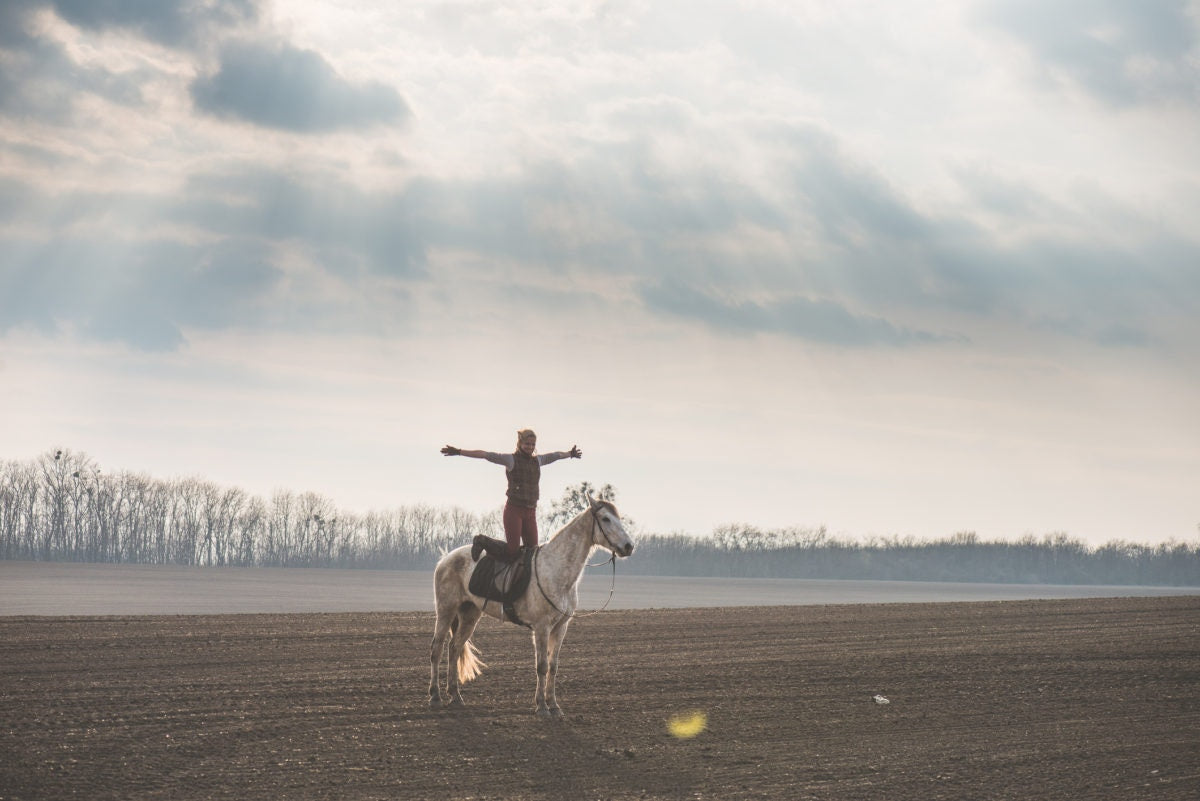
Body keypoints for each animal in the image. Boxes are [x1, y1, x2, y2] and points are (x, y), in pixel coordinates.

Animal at [432, 491, 638, 714]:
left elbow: (553, 666)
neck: (557, 570)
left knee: (455, 647)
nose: (629, 546)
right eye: (606, 519)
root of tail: (445, 559)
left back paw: (455, 696)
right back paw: (435, 696)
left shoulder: (561, 627)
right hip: (446, 610)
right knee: (437, 648)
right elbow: (542, 666)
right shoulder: (541, 627)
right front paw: (541, 706)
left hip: (470, 614)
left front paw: (554, 705)